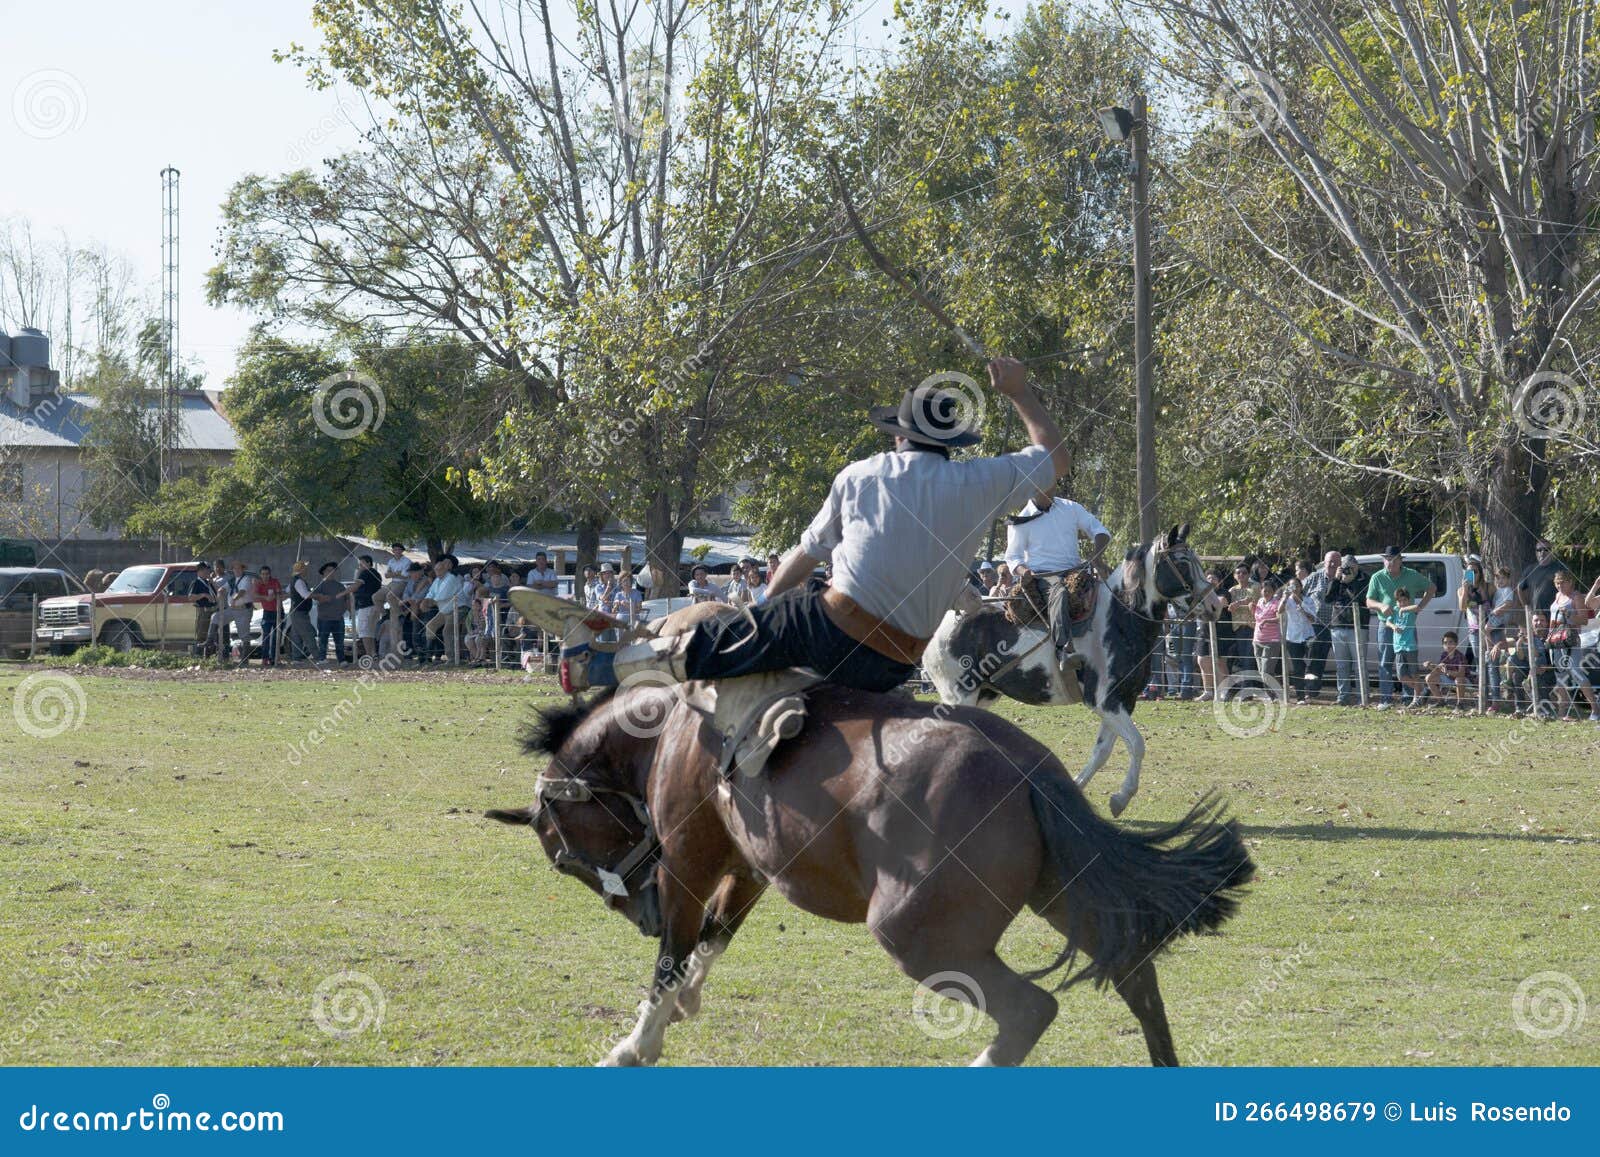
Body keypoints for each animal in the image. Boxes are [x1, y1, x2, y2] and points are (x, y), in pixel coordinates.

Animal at [486, 678, 1248, 1068]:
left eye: (563, 856)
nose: (636, 915)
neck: (678, 727)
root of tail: (1029, 769)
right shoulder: (749, 870)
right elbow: (714, 936)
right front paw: (686, 1006)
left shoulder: (689, 865)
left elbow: (675, 954)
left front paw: (638, 1040)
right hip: (1064, 896)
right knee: (1137, 975)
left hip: (921, 938)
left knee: (1033, 1008)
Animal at [928, 528, 1209, 819]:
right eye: (1182, 562)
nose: (1213, 603)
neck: (1118, 620)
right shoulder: (1104, 701)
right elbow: (1136, 743)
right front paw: (1121, 798)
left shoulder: (1122, 702)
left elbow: (1103, 751)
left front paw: (1102, 796)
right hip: (958, 694)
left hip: (984, 694)